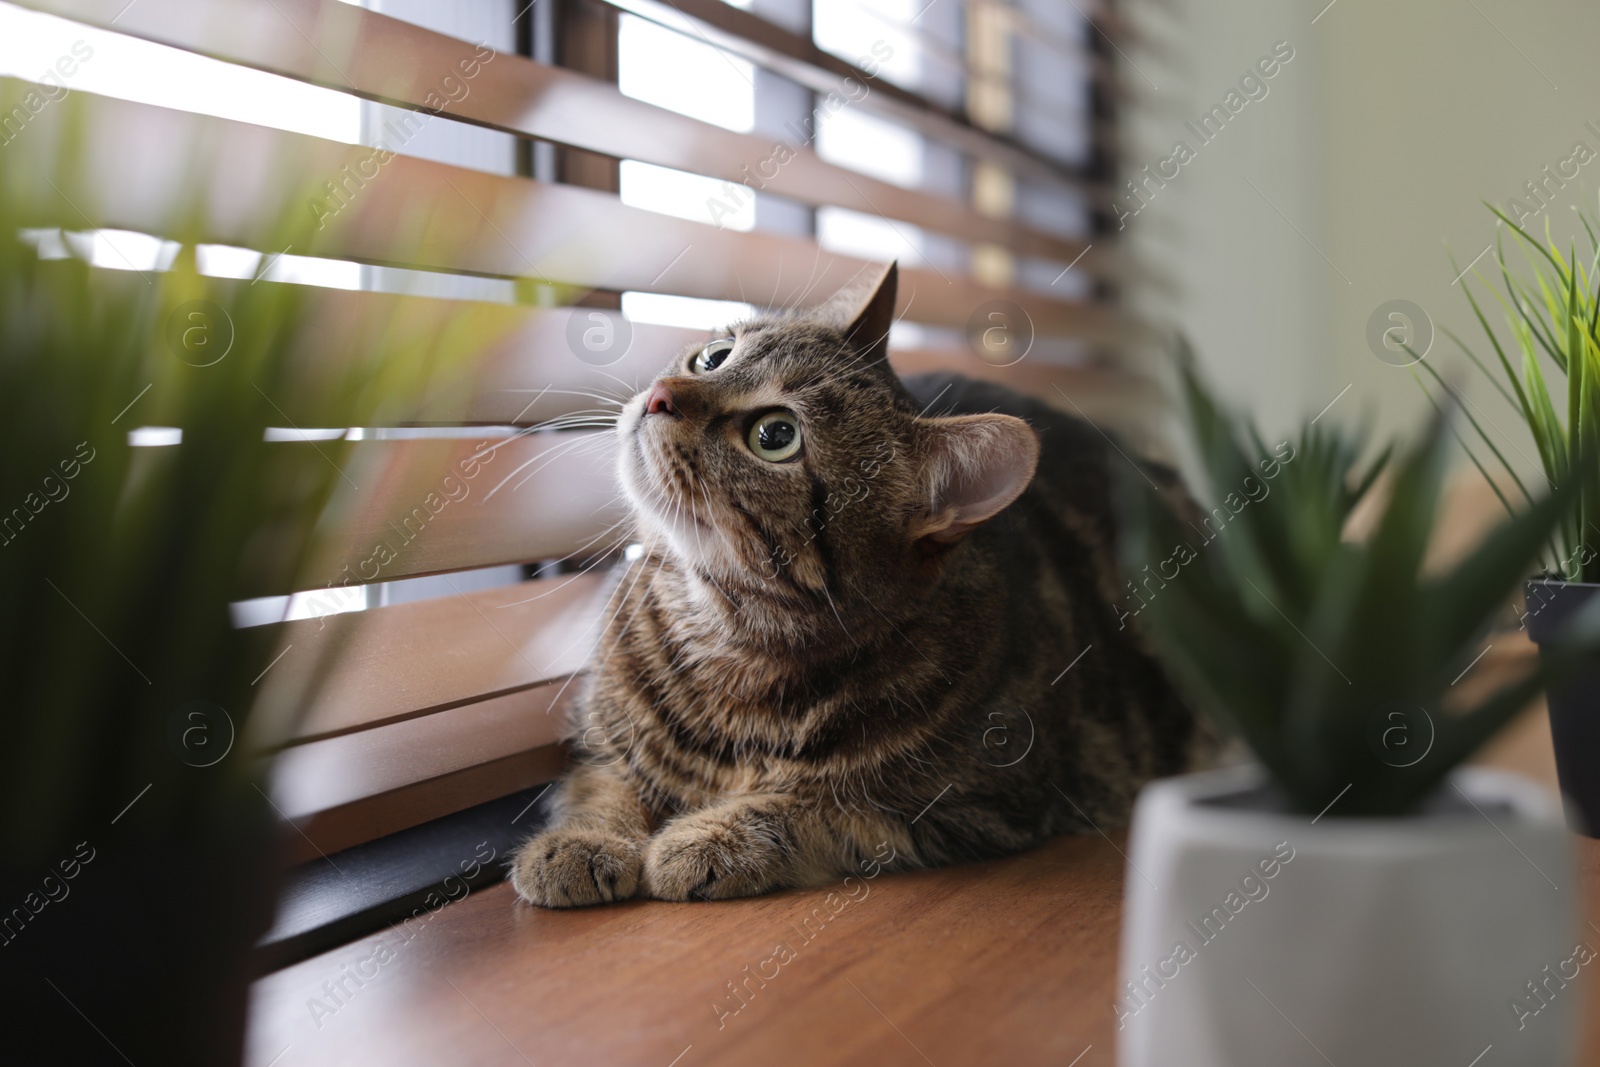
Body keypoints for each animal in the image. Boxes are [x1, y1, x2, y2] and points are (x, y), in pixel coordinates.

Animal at [515, 262, 1209, 908]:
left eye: (776, 436)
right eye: (714, 356)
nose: (660, 393)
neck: (730, 647)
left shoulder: (968, 810)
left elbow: (813, 810)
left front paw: (708, 838)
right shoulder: (598, 739)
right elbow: (602, 782)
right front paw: (582, 840)